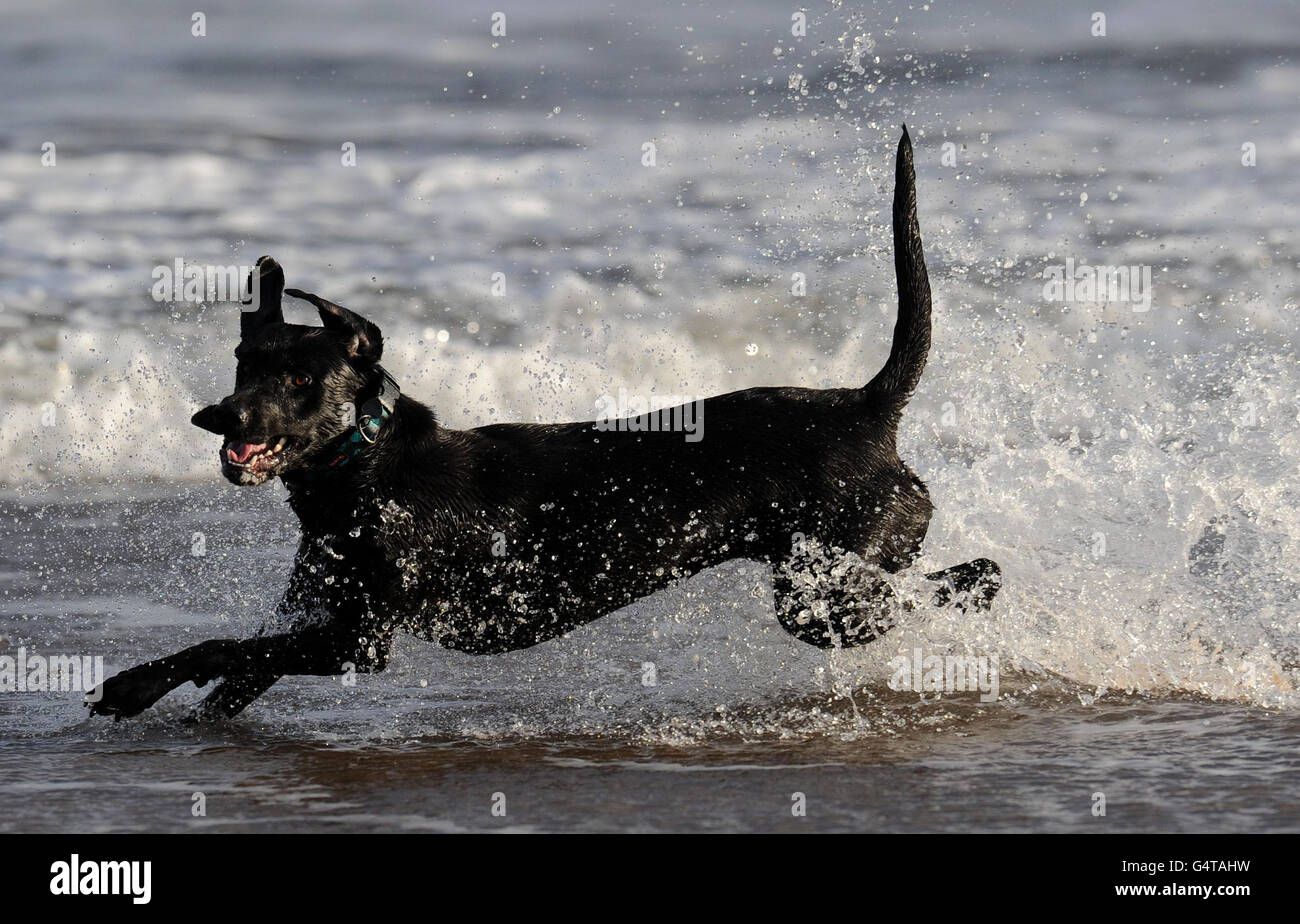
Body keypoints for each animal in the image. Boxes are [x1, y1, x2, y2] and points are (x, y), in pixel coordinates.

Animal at [89, 128, 1003, 722]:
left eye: (301, 381)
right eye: (244, 363)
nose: (218, 417)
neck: (366, 469)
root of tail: (867, 406)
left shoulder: (359, 637)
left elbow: (226, 650)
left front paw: (129, 688)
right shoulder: (314, 613)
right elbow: (234, 667)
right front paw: (156, 694)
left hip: (828, 590)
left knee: (973, 576)